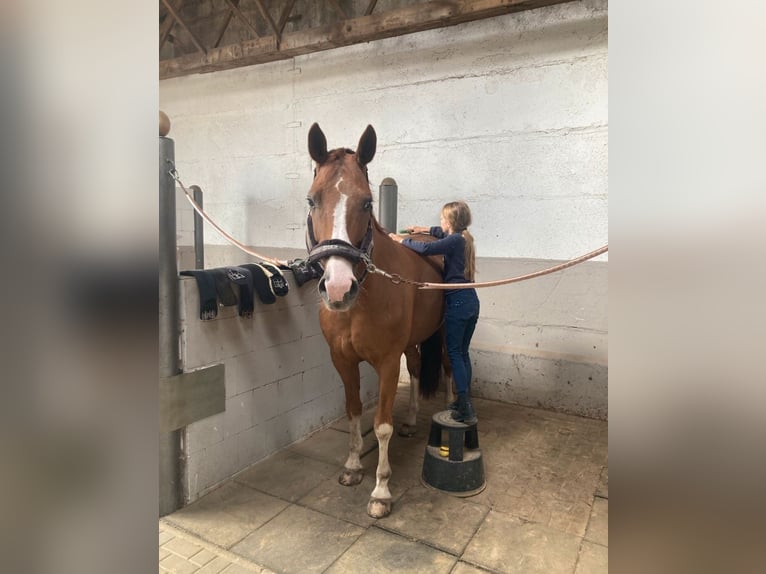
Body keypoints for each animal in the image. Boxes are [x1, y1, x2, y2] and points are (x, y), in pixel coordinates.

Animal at [304, 124, 448, 520]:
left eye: (367, 202)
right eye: (312, 200)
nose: (338, 287)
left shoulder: (386, 362)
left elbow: (381, 426)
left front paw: (381, 491)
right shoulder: (343, 361)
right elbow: (354, 413)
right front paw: (353, 466)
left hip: (445, 335)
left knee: (449, 370)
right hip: (412, 344)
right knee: (417, 369)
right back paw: (412, 422)